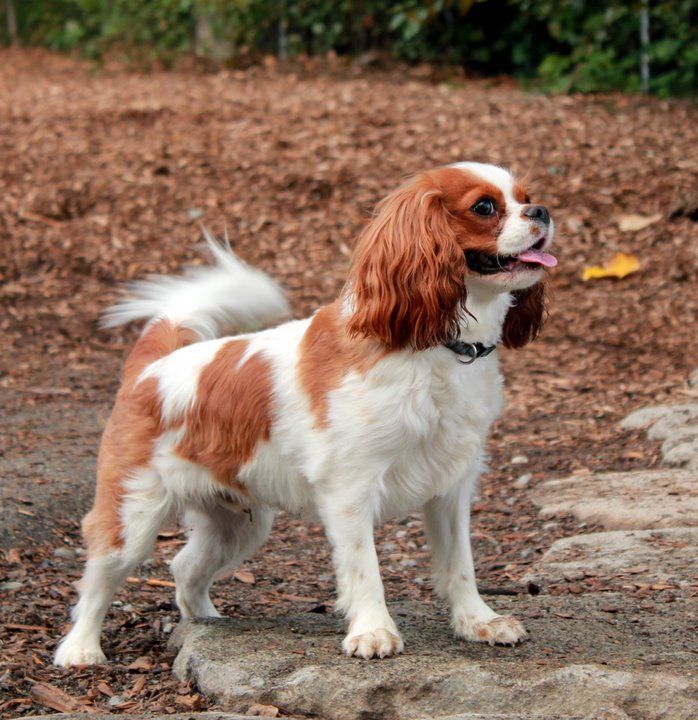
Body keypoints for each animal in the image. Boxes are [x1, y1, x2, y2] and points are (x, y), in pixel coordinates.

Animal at [53, 162, 556, 664]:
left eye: (526, 196)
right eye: (484, 207)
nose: (543, 211)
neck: (438, 345)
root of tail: (152, 366)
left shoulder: (451, 487)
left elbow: (460, 564)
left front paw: (479, 621)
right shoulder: (350, 488)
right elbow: (365, 568)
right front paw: (373, 630)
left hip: (238, 525)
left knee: (184, 567)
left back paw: (207, 622)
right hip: (133, 514)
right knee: (99, 579)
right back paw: (80, 648)